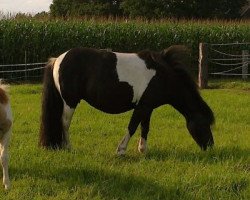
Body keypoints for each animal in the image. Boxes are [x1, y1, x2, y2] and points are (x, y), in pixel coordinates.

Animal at [39, 45, 215, 155]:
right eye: (204, 124)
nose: (210, 147)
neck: (162, 76)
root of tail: (57, 59)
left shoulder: (148, 107)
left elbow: (145, 128)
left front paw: (143, 150)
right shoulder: (141, 107)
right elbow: (132, 127)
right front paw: (121, 150)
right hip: (70, 101)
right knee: (64, 123)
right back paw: (68, 147)